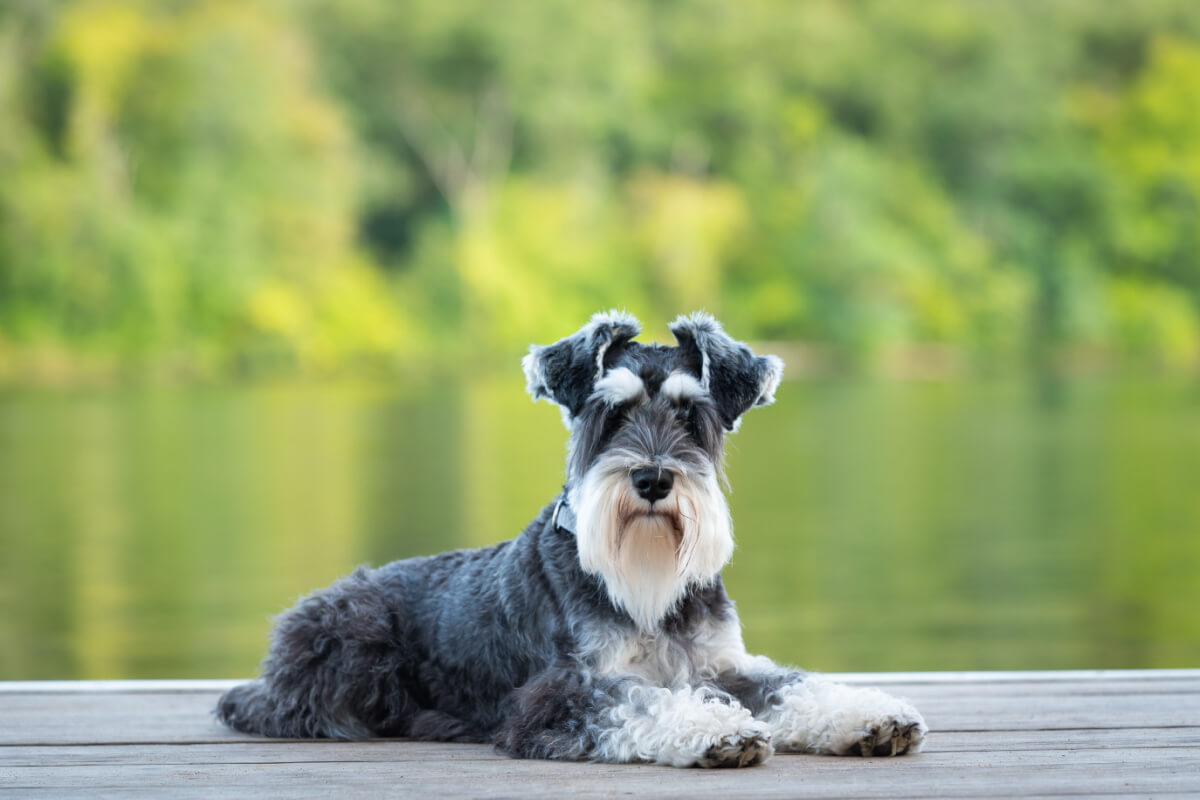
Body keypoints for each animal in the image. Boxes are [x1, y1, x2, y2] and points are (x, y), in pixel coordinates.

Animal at [218, 309, 926, 767]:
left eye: (690, 414)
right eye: (609, 414)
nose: (651, 479)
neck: (645, 584)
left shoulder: (723, 665)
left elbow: (794, 684)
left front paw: (870, 716)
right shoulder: (558, 692)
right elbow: (636, 700)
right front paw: (711, 728)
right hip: (353, 633)